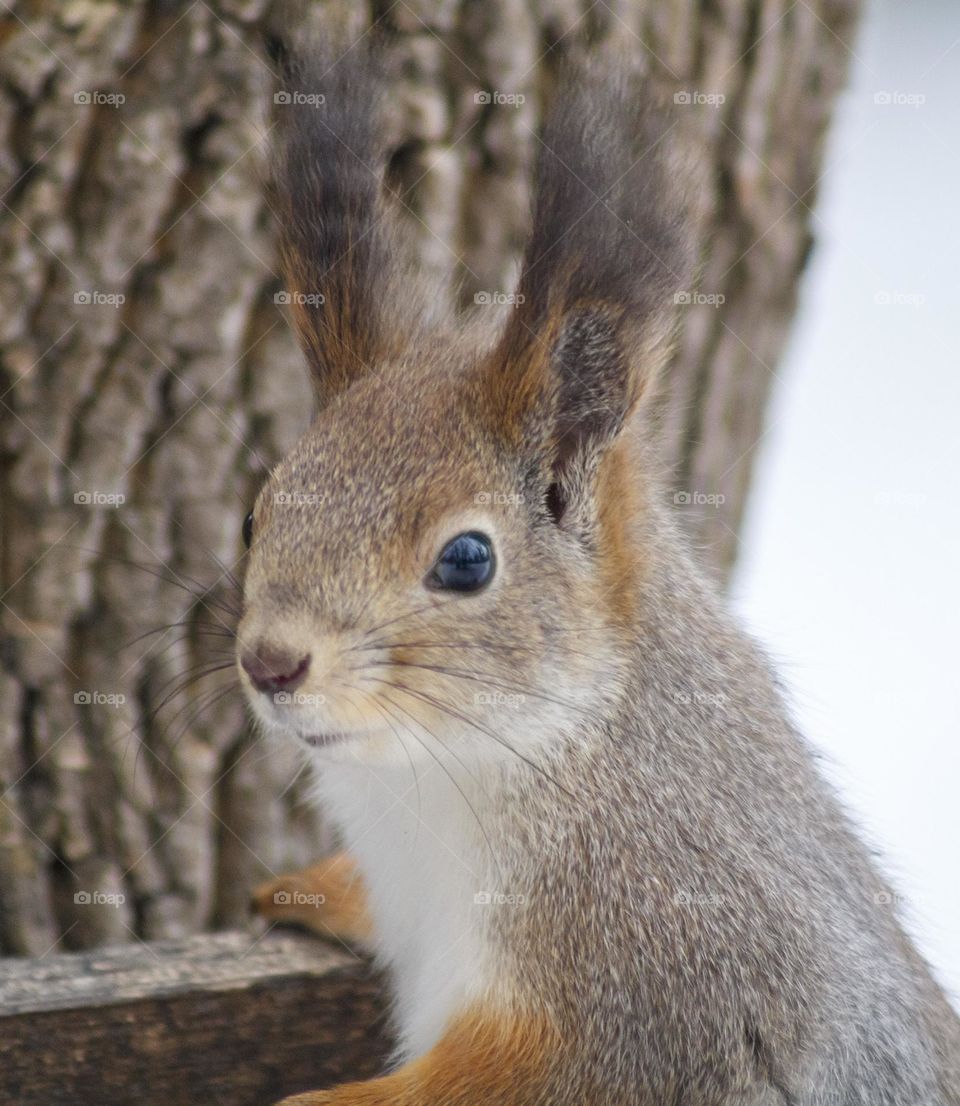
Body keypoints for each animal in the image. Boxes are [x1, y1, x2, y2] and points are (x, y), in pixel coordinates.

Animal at [237, 42, 960, 1106]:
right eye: (257, 512)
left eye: (466, 559)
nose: (271, 663)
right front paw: (311, 887)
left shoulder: (655, 975)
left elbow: (526, 1076)